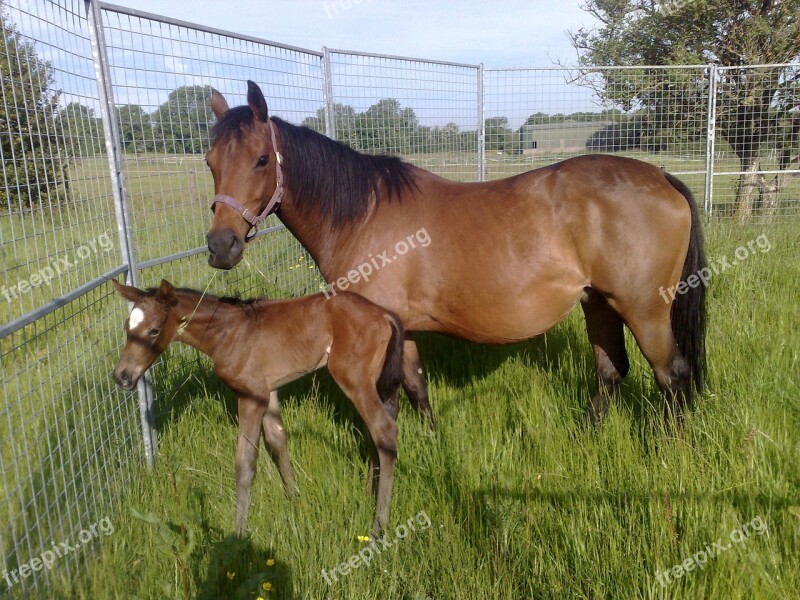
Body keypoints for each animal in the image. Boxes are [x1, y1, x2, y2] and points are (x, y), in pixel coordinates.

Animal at [109, 278, 404, 536]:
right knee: (375, 433)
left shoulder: (251, 396)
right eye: (126, 326)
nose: (122, 376)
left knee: (384, 430)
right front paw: (294, 497)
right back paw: (369, 492)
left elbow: (245, 462)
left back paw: (379, 525)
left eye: (155, 329)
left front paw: (239, 531)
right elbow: (277, 439)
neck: (228, 333)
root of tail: (383, 314)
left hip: (354, 379)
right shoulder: (268, 392)